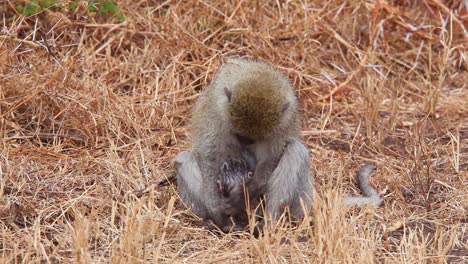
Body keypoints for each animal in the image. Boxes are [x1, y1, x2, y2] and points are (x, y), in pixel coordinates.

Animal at [174, 57, 382, 231]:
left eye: (251, 138)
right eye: (240, 135)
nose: (245, 142)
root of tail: (311, 199)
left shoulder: (286, 119)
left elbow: (272, 157)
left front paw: (245, 193)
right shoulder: (215, 110)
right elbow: (208, 153)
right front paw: (216, 210)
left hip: (300, 200)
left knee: (296, 151)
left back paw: (267, 224)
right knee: (183, 159)